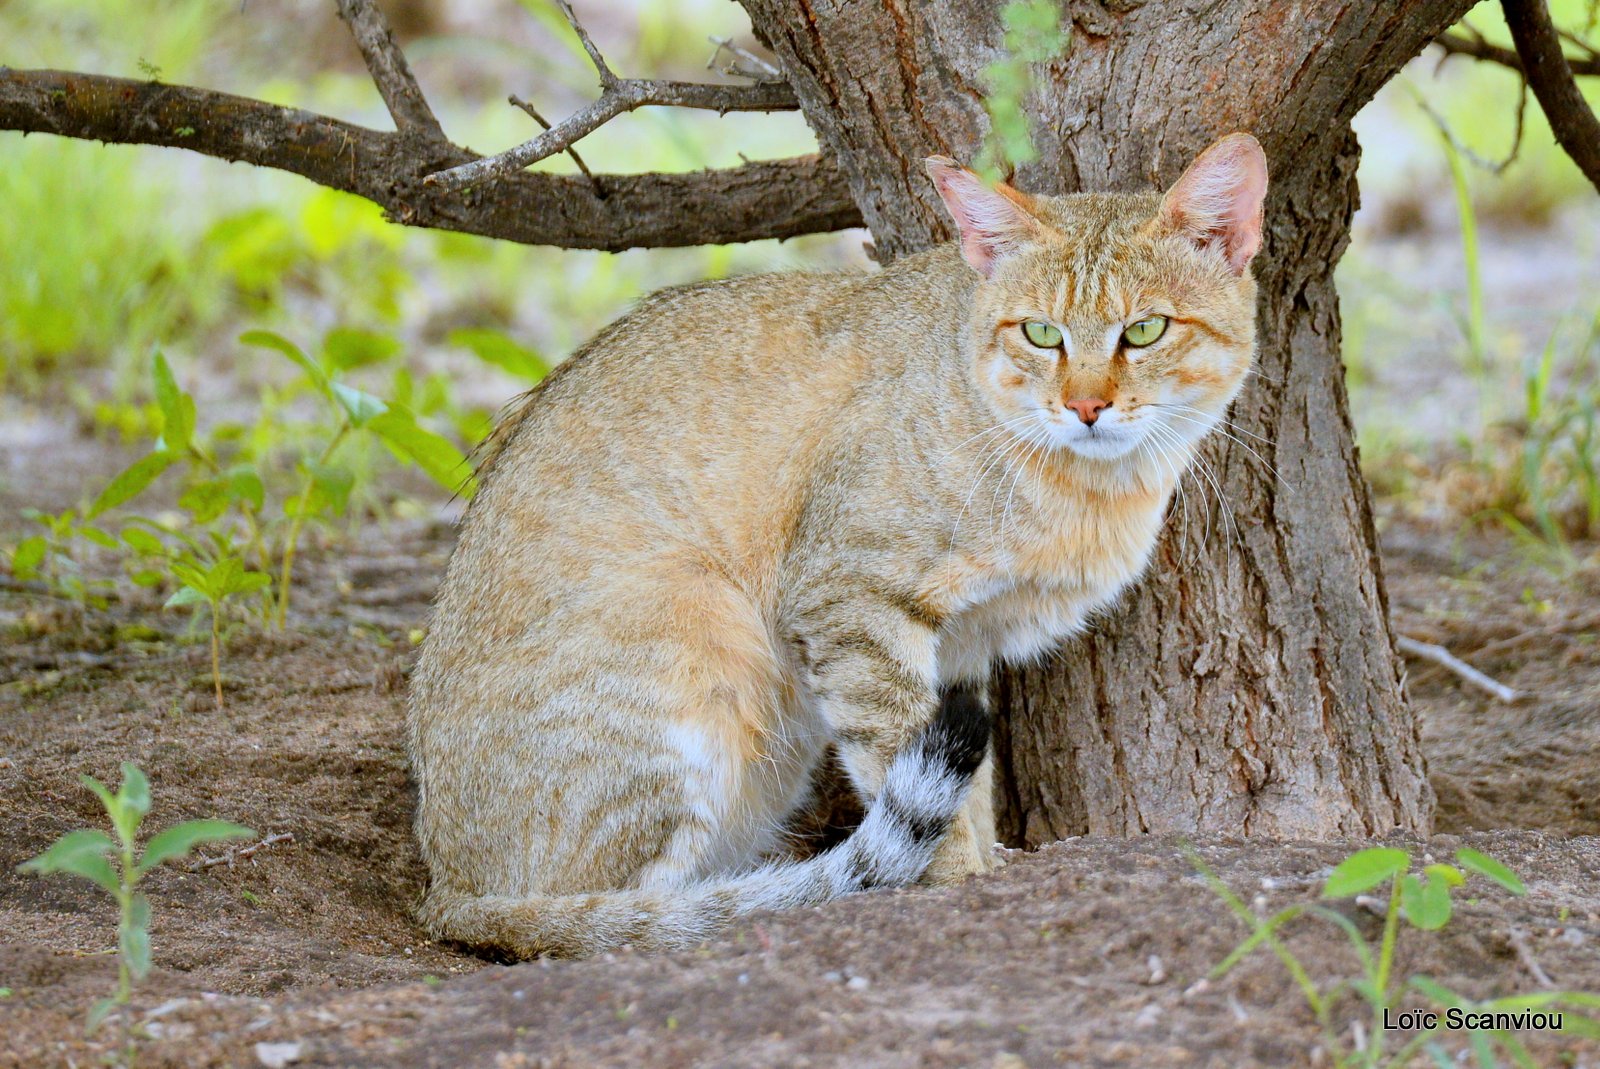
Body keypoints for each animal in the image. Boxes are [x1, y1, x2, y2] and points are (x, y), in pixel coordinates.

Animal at [412, 133, 1273, 960]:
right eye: (1041, 333)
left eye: (1146, 330)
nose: (1087, 406)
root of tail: (445, 887)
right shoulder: (850, 602)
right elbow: (907, 766)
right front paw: (957, 885)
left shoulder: (960, 646)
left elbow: (971, 786)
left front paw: (988, 865)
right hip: (699, 638)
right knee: (609, 917)